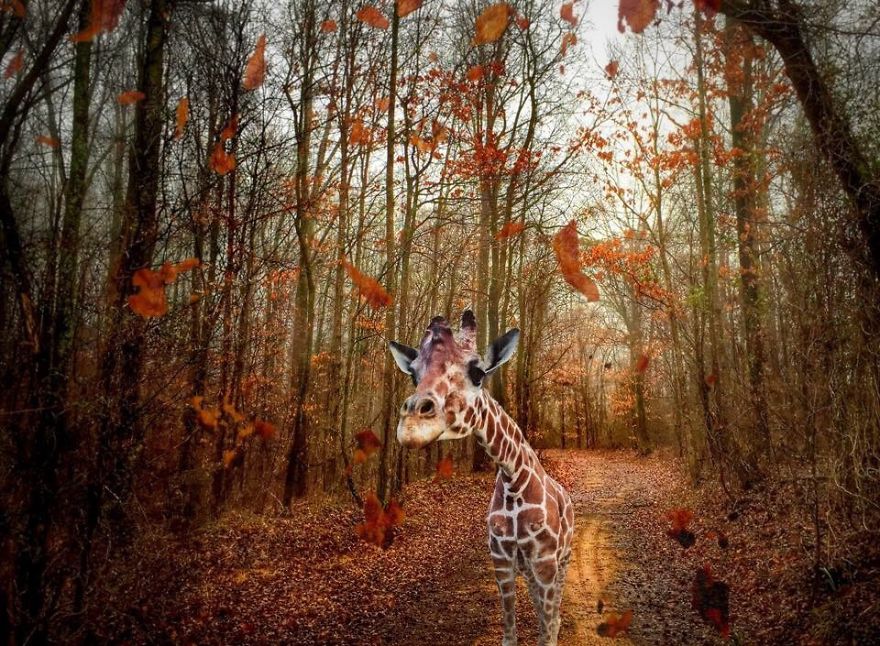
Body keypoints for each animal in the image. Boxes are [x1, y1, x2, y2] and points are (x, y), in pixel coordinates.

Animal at [389, 310, 575, 646]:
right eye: (413, 374)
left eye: (478, 372)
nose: (411, 426)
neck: (514, 482)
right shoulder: (501, 561)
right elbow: (510, 634)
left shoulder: (545, 562)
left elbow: (547, 631)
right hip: (530, 569)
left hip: (562, 560)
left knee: (553, 615)